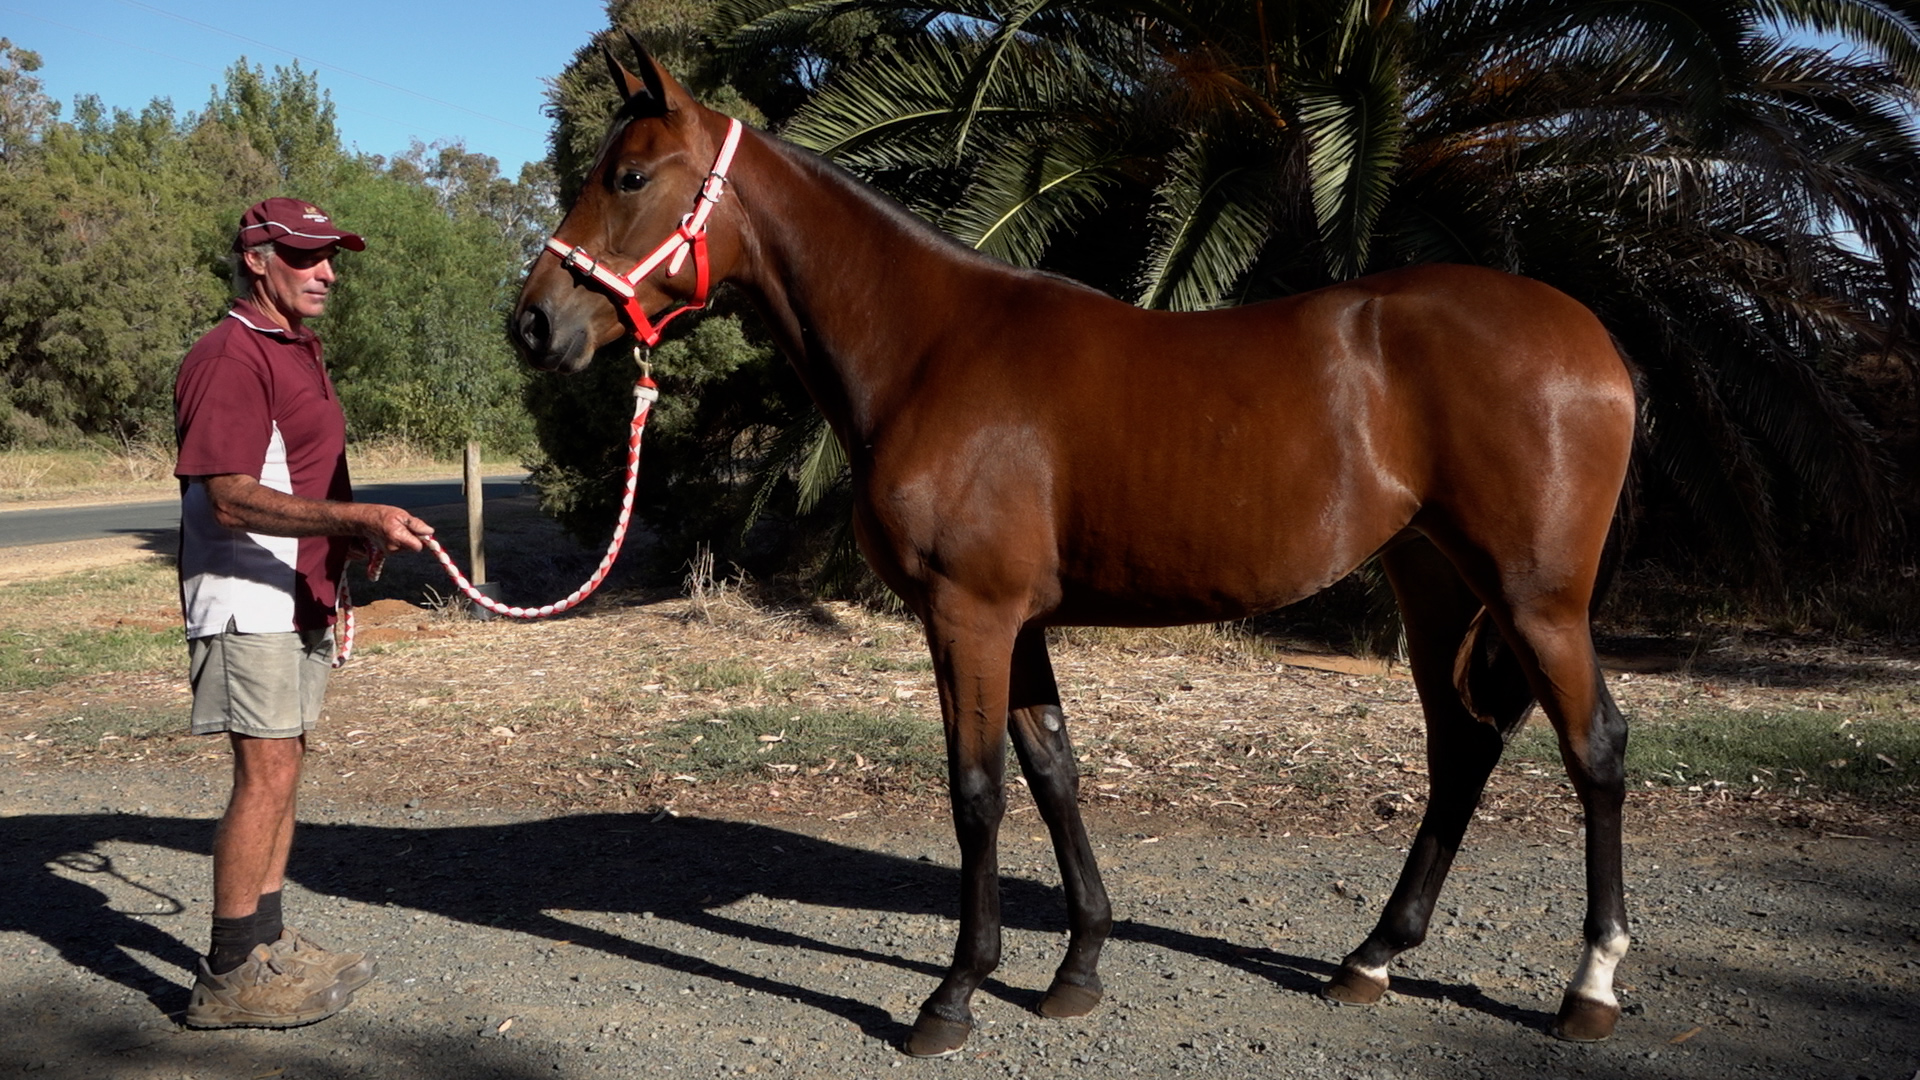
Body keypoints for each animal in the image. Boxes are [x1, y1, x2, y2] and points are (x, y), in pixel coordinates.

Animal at [510, 40, 1639, 1058]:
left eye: (629, 176)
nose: (532, 324)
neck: (932, 349)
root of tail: (1594, 339)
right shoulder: (1020, 621)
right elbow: (1055, 770)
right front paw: (1077, 969)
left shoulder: (968, 615)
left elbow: (976, 792)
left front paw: (953, 997)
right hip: (1434, 577)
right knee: (1462, 749)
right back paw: (1372, 958)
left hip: (1536, 598)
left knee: (1595, 749)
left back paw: (1590, 986)